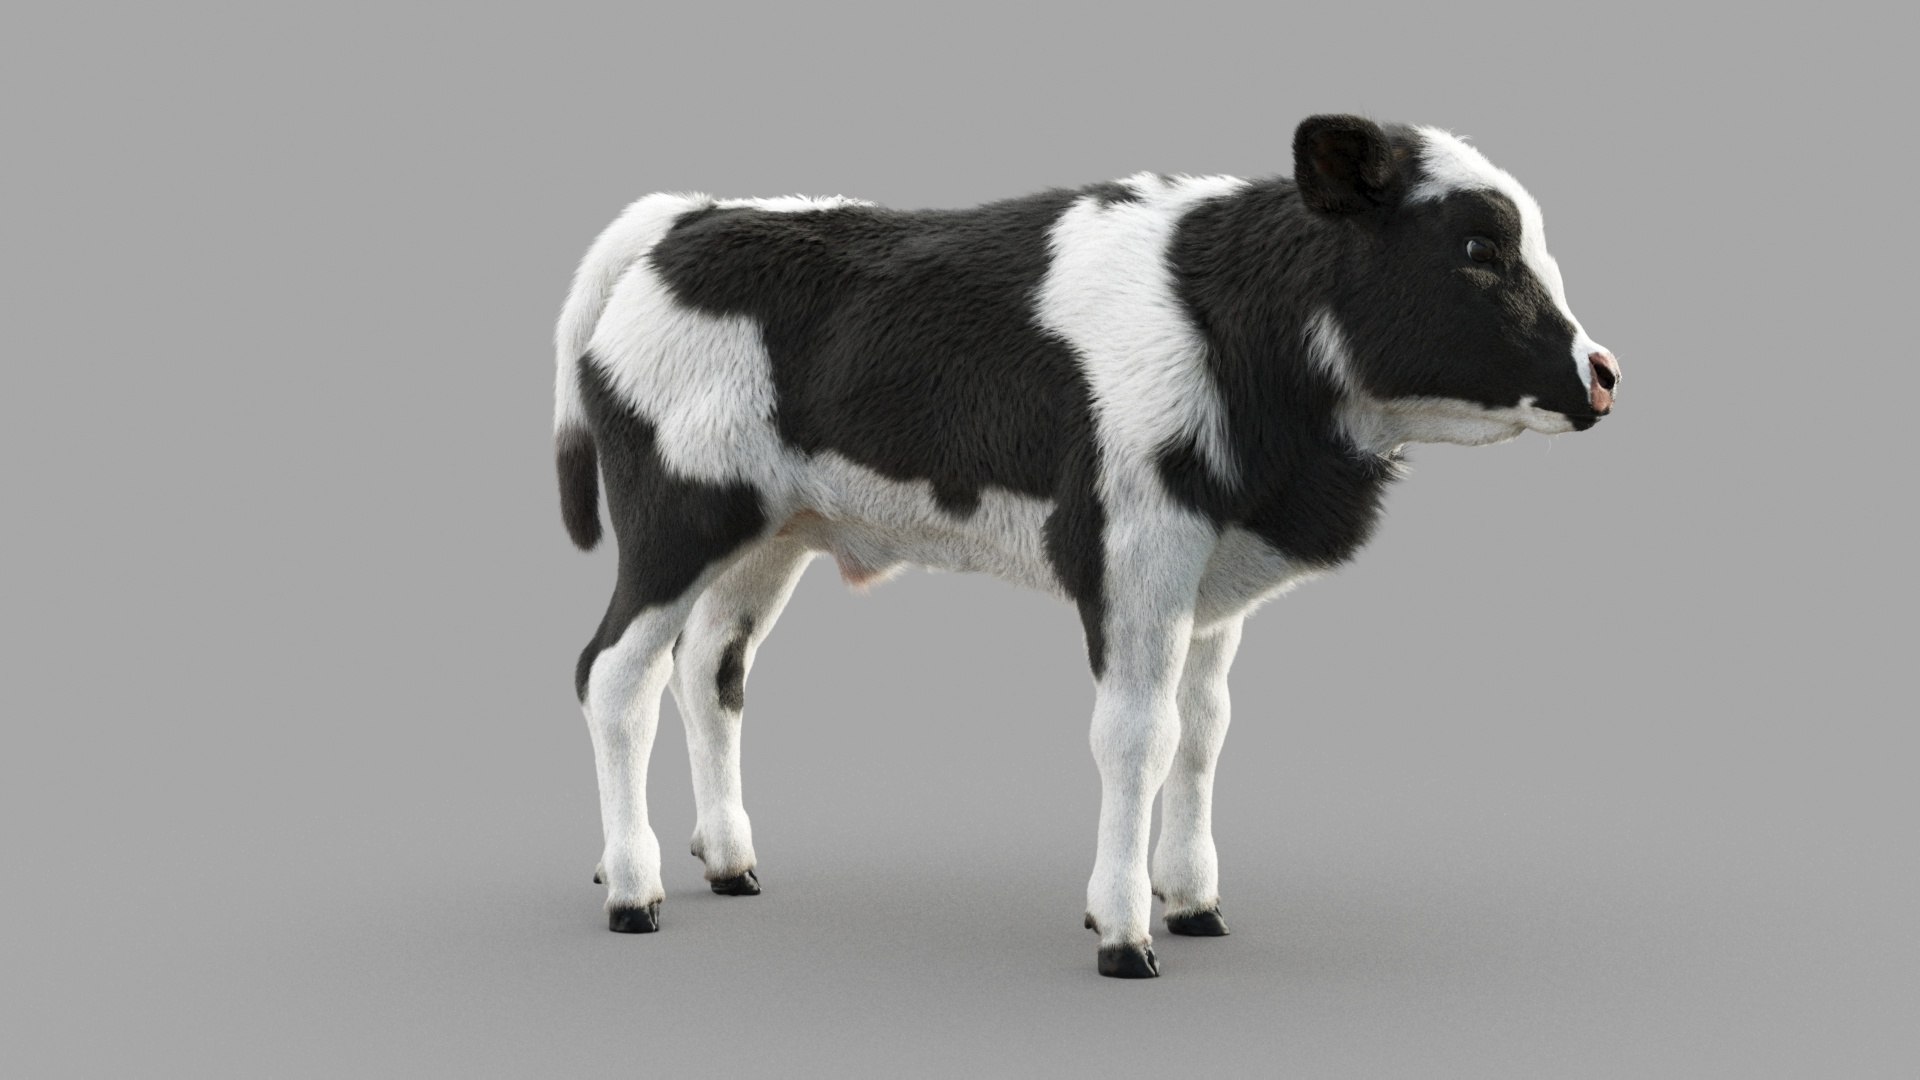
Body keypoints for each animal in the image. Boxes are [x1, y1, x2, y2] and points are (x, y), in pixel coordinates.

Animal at [552, 115, 1619, 978]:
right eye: (1477, 245)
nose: (1603, 373)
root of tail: (693, 216)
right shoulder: (1133, 554)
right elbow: (1137, 736)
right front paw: (1124, 930)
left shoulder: (1215, 573)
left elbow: (1204, 731)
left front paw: (1193, 902)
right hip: (676, 517)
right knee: (616, 674)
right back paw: (634, 889)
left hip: (769, 534)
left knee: (711, 673)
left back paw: (727, 862)